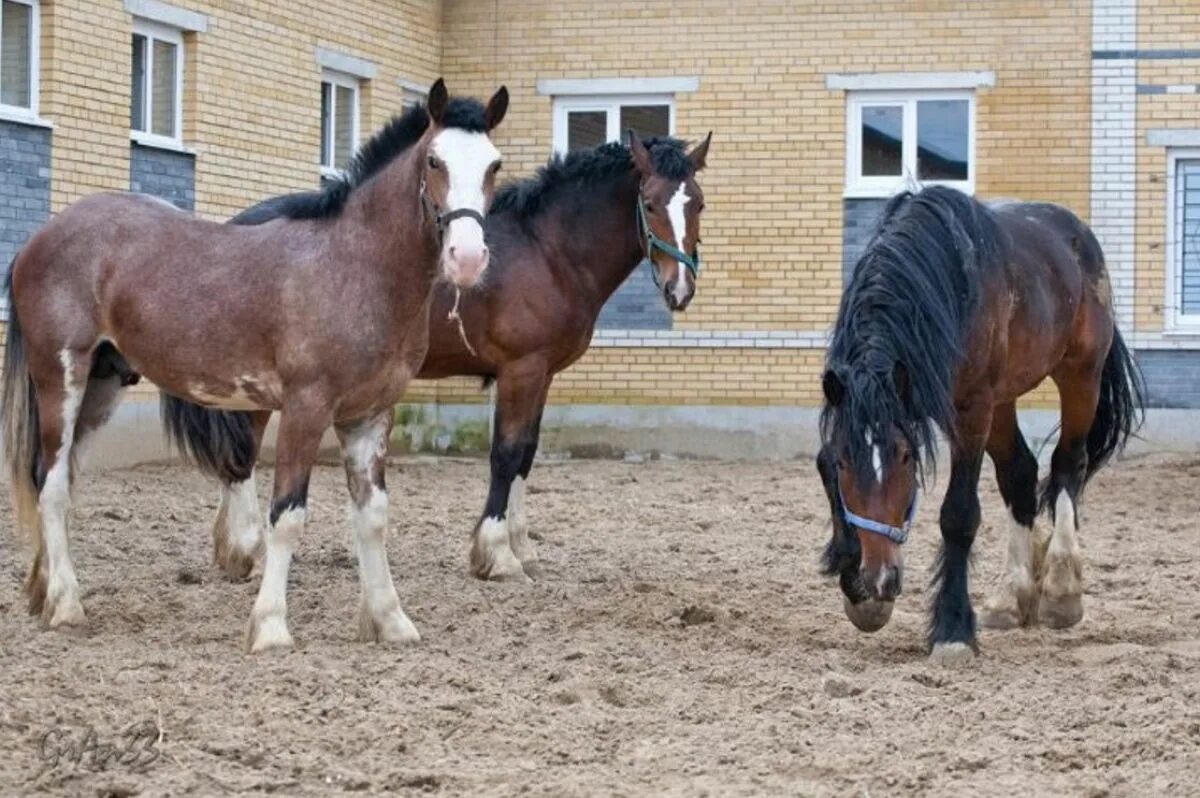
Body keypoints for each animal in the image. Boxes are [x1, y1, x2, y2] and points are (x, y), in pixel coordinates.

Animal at [0, 78, 508, 652]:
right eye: (435, 161)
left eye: (494, 165)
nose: (467, 258)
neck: (356, 266)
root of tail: (36, 242)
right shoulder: (306, 408)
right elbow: (286, 516)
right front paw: (270, 627)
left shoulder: (370, 416)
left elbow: (373, 517)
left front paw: (391, 620)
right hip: (60, 378)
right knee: (53, 485)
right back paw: (66, 606)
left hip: (101, 387)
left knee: (53, 476)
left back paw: (43, 592)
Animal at [160, 129, 705, 578]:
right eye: (651, 203)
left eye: (697, 203)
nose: (680, 289)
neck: (548, 250)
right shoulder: (521, 370)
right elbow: (506, 455)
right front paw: (496, 555)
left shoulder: (543, 374)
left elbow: (527, 454)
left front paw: (522, 548)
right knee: (243, 454)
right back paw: (243, 550)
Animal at [816, 187, 1142, 667]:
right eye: (843, 464)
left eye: (906, 458)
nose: (878, 579)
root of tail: (1078, 234)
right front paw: (858, 590)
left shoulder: (971, 410)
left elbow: (959, 515)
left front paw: (952, 630)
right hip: (1004, 399)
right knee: (1020, 474)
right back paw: (1010, 598)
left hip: (1080, 373)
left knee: (1069, 463)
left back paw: (1061, 589)